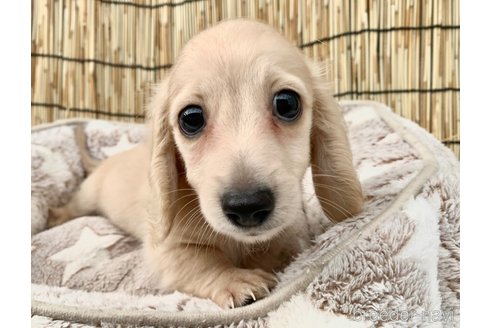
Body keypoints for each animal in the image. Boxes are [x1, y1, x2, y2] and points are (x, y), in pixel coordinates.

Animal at [48, 19, 364, 308]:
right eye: (191, 118)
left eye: (287, 103)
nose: (247, 206)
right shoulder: (170, 249)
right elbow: (203, 262)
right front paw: (235, 280)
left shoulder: (285, 234)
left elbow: (276, 249)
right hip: (88, 196)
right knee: (74, 206)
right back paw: (56, 215)